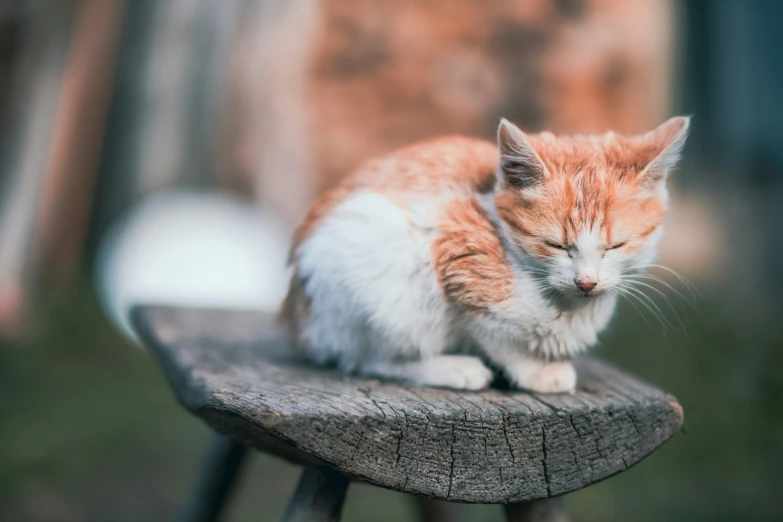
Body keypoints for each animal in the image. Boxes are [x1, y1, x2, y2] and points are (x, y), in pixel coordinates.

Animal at [278, 115, 688, 390]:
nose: (586, 282)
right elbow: (497, 336)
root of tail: (296, 321)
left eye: (615, 246)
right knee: (368, 359)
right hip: (375, 270)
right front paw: (536, 371)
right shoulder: (453, 253)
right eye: (556, 245)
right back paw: (451, 369)